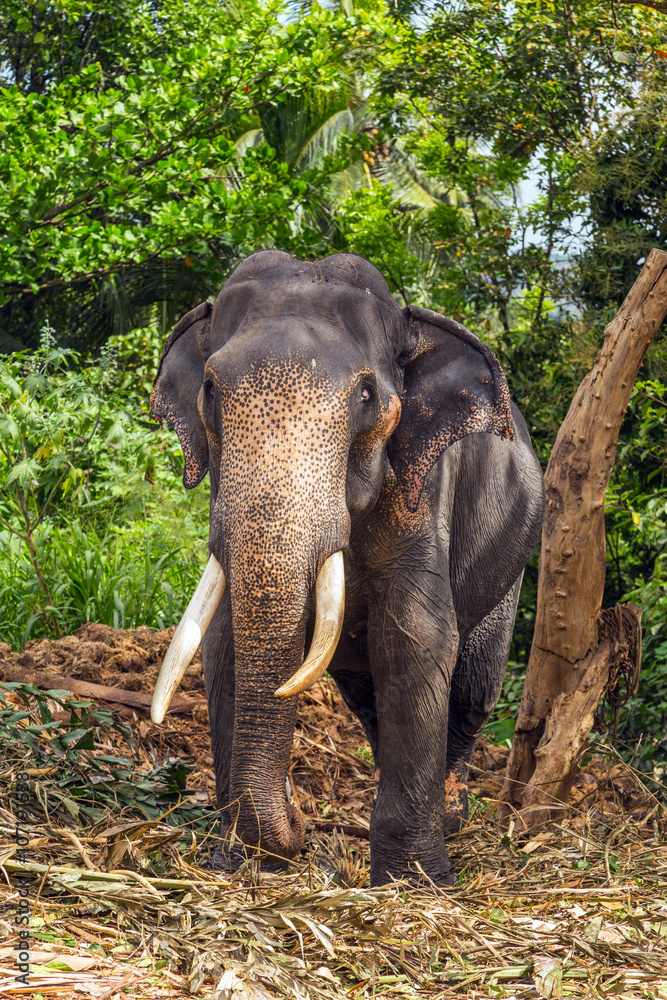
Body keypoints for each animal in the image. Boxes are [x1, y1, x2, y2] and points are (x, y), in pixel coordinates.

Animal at [149, 250, 545, 887]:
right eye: (208, 388)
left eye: (365, 394)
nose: (299, 825)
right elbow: (222, 642)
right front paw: (236, 863)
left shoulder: (420, 489)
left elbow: (414, 637)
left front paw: (416, 881)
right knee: (366, 697)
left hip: (510, 568)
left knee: (472, 689)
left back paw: (452, 818)